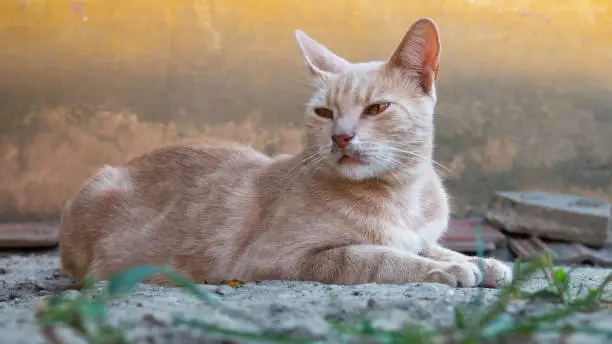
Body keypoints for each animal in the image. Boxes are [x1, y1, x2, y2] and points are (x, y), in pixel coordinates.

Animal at [61, 18, 512, 288]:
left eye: (377, 108)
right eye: (324, 112)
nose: (341, 137)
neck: (402, 196)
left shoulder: (419, 233)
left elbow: (427, 245)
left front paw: (484, 263)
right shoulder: (274, 259)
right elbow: (379, 257)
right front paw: (448, 268)